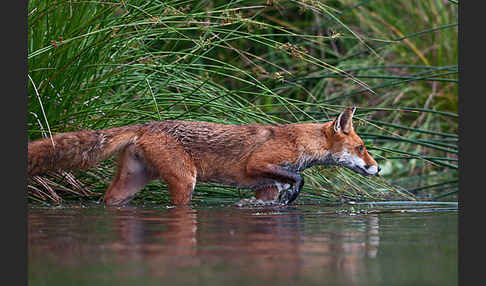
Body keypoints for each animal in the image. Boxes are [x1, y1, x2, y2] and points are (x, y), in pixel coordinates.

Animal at [28, 107, 382, 206]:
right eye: (362, 147)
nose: (378, 168)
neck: (299, 143)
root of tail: (145, 125)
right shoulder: (259, 163)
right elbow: (299, 176)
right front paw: (295, 191)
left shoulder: (265, 189)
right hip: (186, 181)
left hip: (129, 185)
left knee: (109, 200)